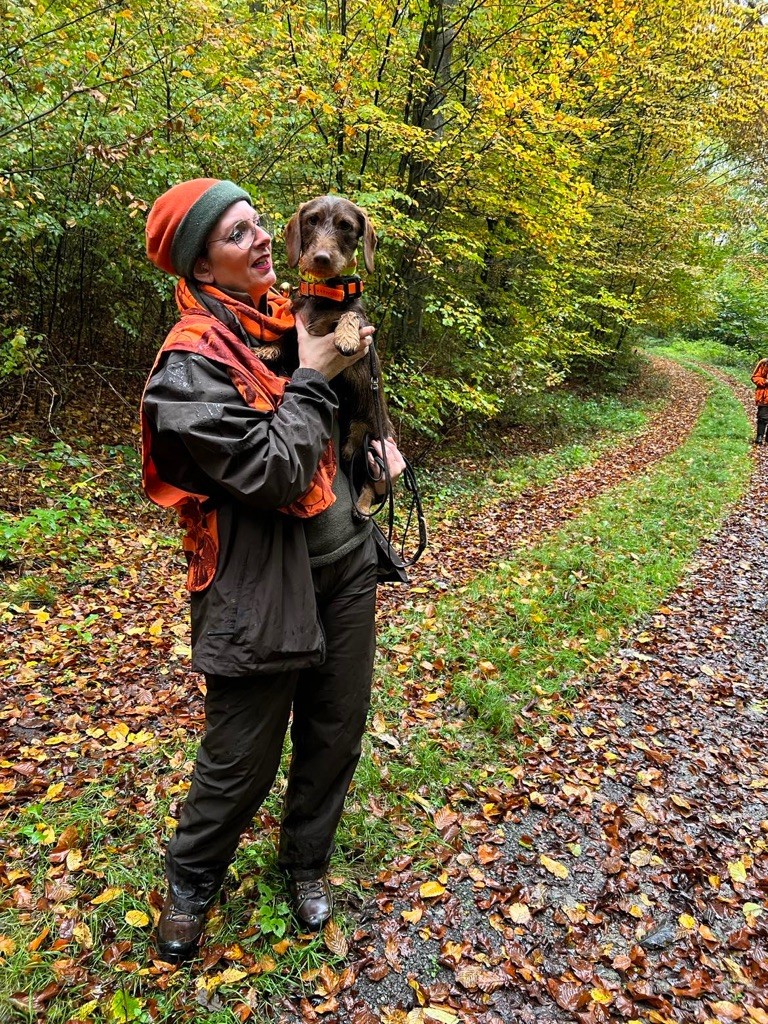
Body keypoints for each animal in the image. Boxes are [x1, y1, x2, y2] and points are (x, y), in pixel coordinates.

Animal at [284, 193, 397, 509]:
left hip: (372, 446)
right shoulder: (297, 320)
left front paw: (345, 337)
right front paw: (266, 348)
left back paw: (362, 505)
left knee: (373, 485)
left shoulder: (362, 321)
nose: (322, 258)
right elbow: (285, 332)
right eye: (312, 220)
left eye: (345, 225)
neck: (325, 293)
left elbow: (351, 315)